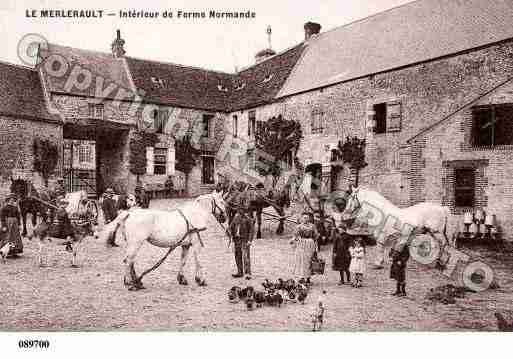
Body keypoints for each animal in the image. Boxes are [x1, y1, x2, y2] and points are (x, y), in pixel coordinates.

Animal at [97, 191, 228, 290]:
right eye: (222, 202)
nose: (224, 218)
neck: (195, 214)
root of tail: (130, 213)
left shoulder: (186, 245)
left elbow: (183, 261)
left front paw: (182, 279)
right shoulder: (196, 244)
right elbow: (198, 261)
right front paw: (201, 280)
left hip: (131, 244)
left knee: (130, 261)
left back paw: (137, 282)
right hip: (136, 243)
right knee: (128, 261)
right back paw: (130, 283)